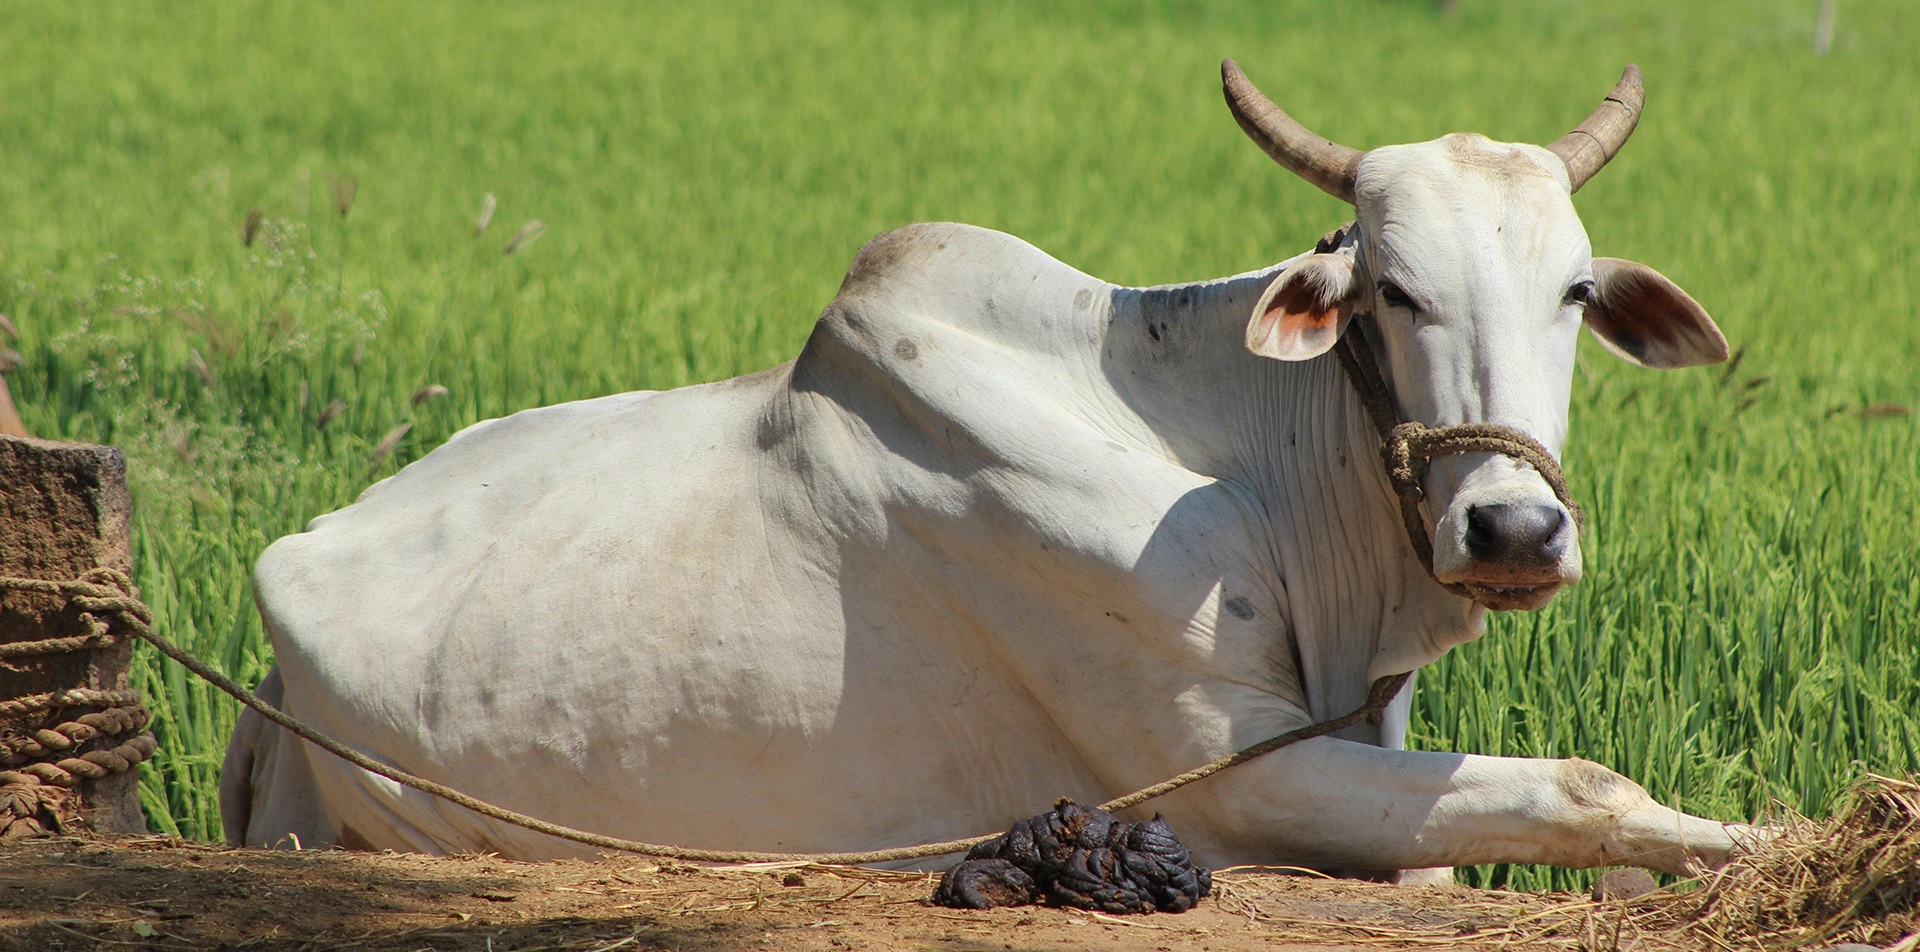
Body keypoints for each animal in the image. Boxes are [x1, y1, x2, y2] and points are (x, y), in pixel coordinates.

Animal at [222, 61, 1760, 880]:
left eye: (1575, 292)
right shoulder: (1229, 785)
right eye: (1391, 288)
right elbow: (1578, 785)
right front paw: (1769, 850)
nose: (1513, 530)